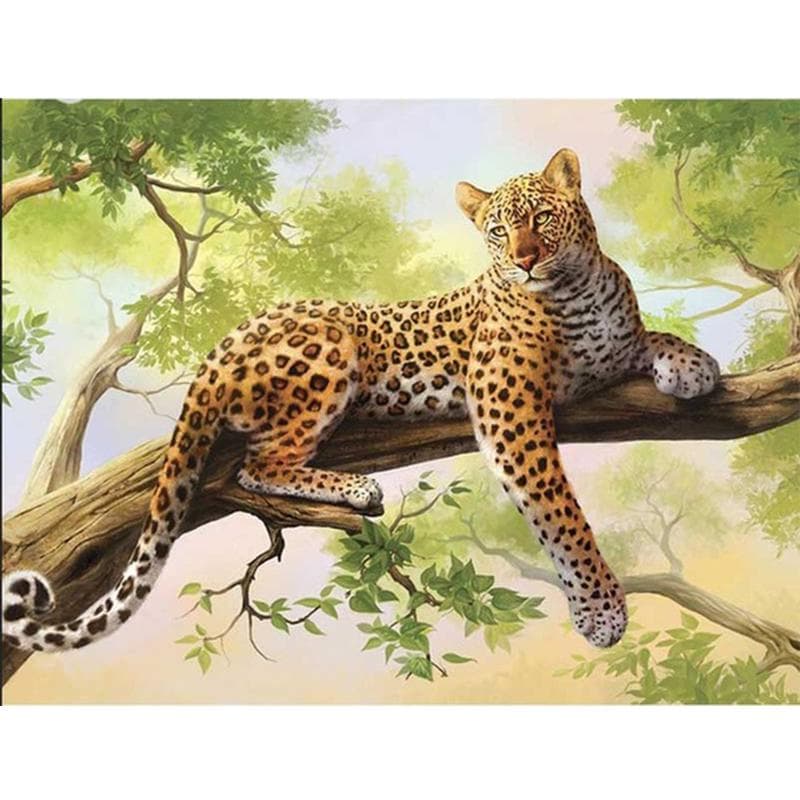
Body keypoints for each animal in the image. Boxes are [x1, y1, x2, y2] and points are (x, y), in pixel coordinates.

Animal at [3, 148, 720, 655]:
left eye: (541, 217)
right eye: (496, 231)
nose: (523, 260)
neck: (577, 287)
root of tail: (221, 345)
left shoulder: (608, 350)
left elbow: (646, 337)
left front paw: (693, 364)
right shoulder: (508, 406)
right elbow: (560, 512)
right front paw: (600, 609)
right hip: (329, 347)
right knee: (258, 464)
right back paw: (355, 489)